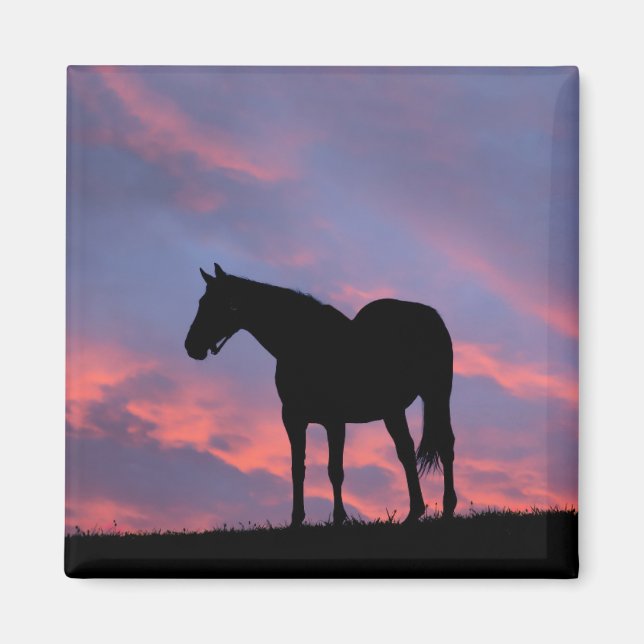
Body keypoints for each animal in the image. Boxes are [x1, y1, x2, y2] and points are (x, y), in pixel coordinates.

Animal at [185, 263, 457, 526]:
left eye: (219, 304)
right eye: (201, 302)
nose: (191, 346)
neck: (305, 343)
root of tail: (429, 314)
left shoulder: (335, 421)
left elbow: (335, 470)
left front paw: (338, 518)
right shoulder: (292, 418)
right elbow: (297, 468)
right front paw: (296, 519)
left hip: (437, 395)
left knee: (445, 445)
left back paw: (447, 509)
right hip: (393, 410)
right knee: (406, 451)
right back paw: (414, 513)